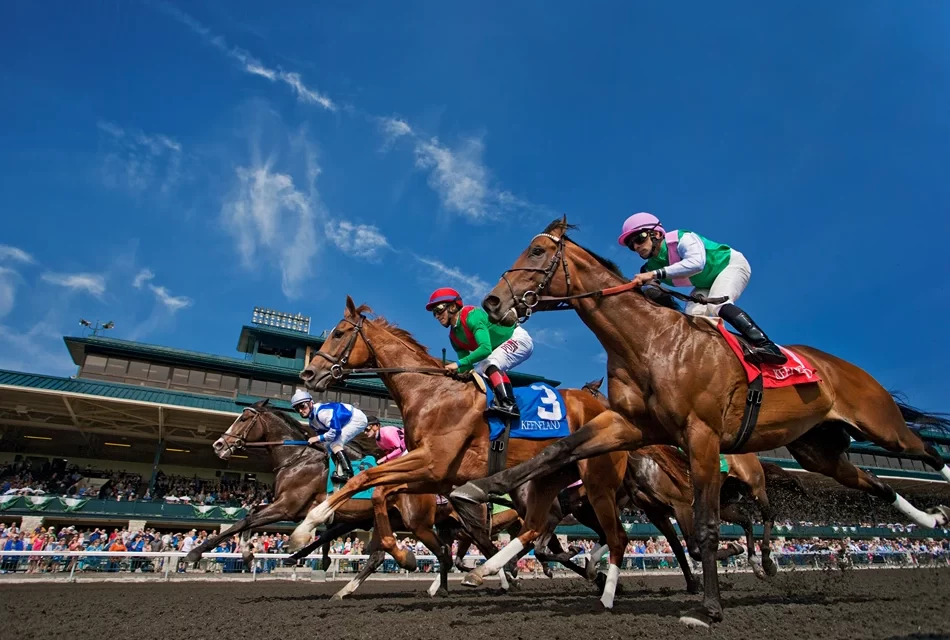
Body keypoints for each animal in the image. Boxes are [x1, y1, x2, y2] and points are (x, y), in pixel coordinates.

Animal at [190, 398, 524, 596]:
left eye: (244, 418)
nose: (219, 445)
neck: (297, 457)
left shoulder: (289, 506)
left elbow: (245, 520)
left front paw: (197, 552)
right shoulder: (291, 508)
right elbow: (250, 516)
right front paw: (250, 552)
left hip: (428, 524)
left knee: (469, 549)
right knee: (387, 556)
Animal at [286, 298, 636, 608]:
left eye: (340, 333)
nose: (308, 375)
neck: (431, 393)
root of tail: (610, 410)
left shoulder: (431, 463)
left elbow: (365, 479)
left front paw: (306, 527)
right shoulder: (435, 476)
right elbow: (379, 492)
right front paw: (404, 555)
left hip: (595, 483)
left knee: (613, 534)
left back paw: (597, 581)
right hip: (548, 480)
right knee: (541, 530)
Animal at [452, 218, 950, 628]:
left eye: (537, 251)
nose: (492, 302)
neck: (651, 342)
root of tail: (845, 367)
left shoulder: (701, 436)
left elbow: (706, 529)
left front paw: (708, 609)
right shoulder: (629, 426)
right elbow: (561, 449)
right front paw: (476, 490)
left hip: (879, 426)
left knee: (924, 450)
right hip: (818, 451)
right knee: (877, 484)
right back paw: (928, 516)